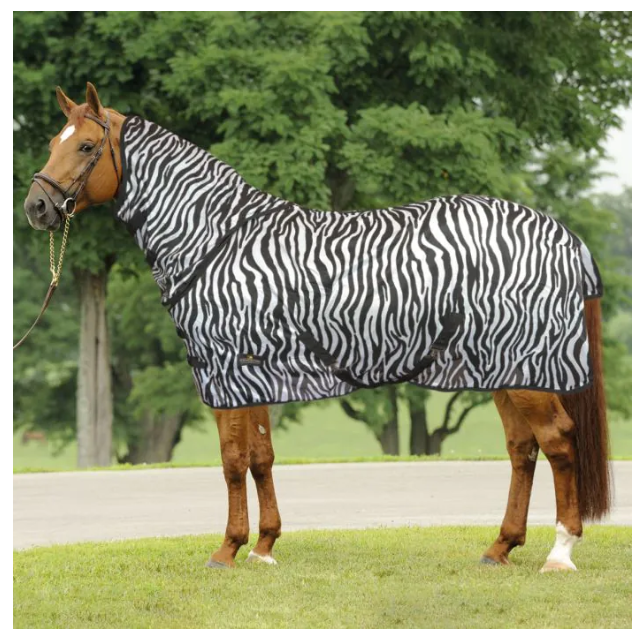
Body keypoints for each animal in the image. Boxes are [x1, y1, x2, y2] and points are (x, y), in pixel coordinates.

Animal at [22, 82, 611, 572]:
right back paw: (500, 547)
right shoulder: (253, 375)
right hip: (503, 370)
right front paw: (263, 546)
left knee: (558, 443)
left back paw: (560, 552)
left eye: (85, 147)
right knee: (522, 449)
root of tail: (563, 237)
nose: (36, 206)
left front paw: (227, 550)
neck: (216, 242)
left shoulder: (225, 370)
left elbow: (232, 461)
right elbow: (261, 457)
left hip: (528, 369)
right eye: (53, 140)